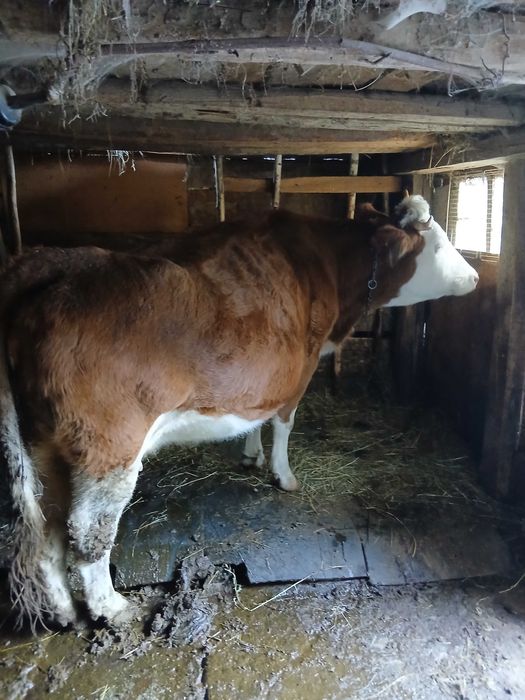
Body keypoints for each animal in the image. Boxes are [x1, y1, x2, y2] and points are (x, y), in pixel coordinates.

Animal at [240, 194, 480, 491]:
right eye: (437, 247)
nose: (475, 276)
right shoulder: (302, 355)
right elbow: (285, 415)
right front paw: (283, 474)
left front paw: (253, 455)